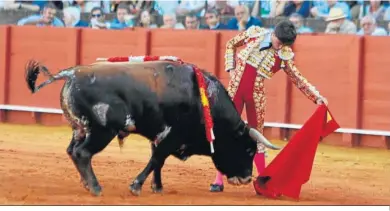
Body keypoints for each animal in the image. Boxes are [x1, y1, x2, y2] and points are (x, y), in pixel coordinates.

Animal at [23, 59, 280, 196]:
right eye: (248, 149)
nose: (247, 178)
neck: (205, 101)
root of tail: (72, 74)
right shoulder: (172, 135)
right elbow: (157, 159)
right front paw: (136, 186)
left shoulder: (160, 135)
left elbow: (159, 160)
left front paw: (157, 187)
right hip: (102, 131)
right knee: (82, 153)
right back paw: (95, 187)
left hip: (81, 129)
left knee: (72, 151)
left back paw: (87, 184)